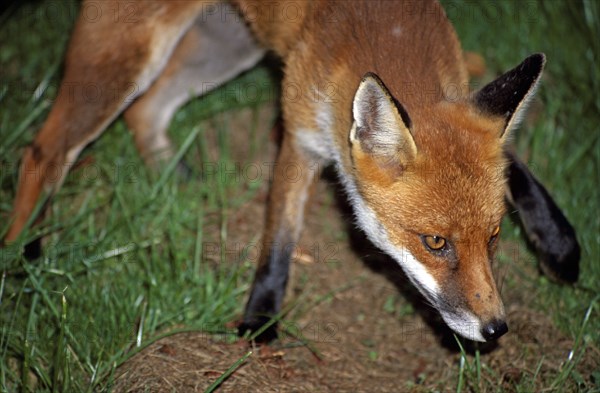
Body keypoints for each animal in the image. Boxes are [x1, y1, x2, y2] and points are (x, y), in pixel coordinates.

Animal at [2, 0, 580, 344]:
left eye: (495, 237)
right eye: (435, 242)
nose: (497, 328)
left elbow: (515, 163)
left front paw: (559, 244)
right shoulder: (298, 135)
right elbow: (279, 236)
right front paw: (259, 321)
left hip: (226, 46)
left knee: (146, 112)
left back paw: (180, 181)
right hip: (124, 58)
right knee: (44, 153)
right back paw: (21, 257)